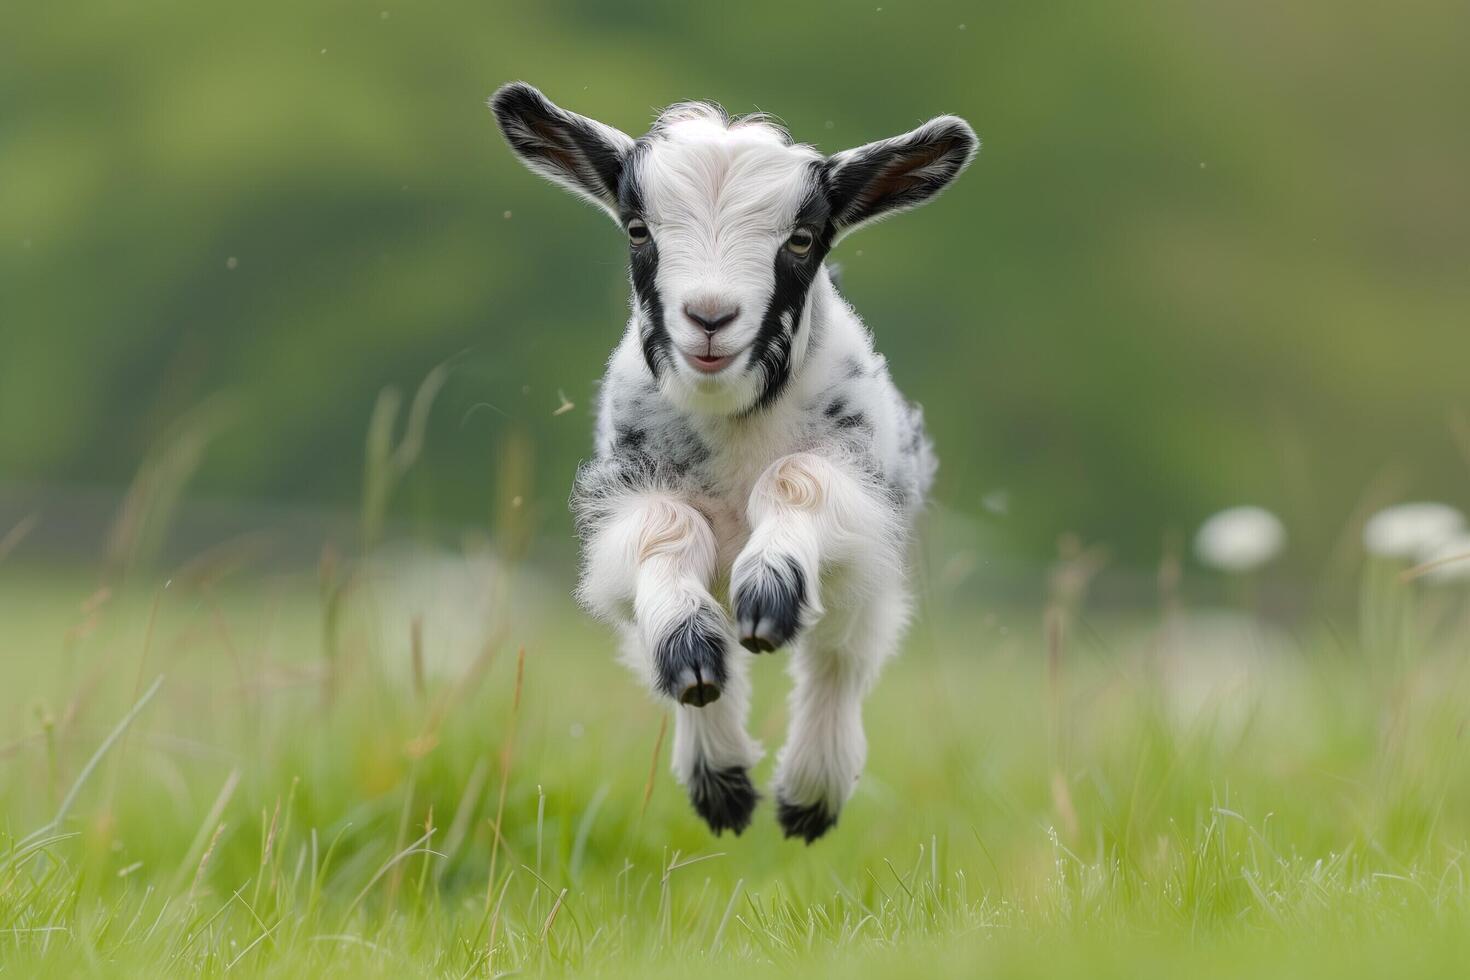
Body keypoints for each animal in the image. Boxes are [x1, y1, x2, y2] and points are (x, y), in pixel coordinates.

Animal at [488, 82, 981, 846]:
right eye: (638, 230)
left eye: (801, 238)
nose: (710, 318)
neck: (736, 426)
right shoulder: (626, 492)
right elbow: (666, 534)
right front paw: (690, 652)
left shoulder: (860, 489)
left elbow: (796, 482)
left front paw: (769, 592)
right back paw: (722, 777)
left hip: (869, 573)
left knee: (840, 656)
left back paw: (808, 794)